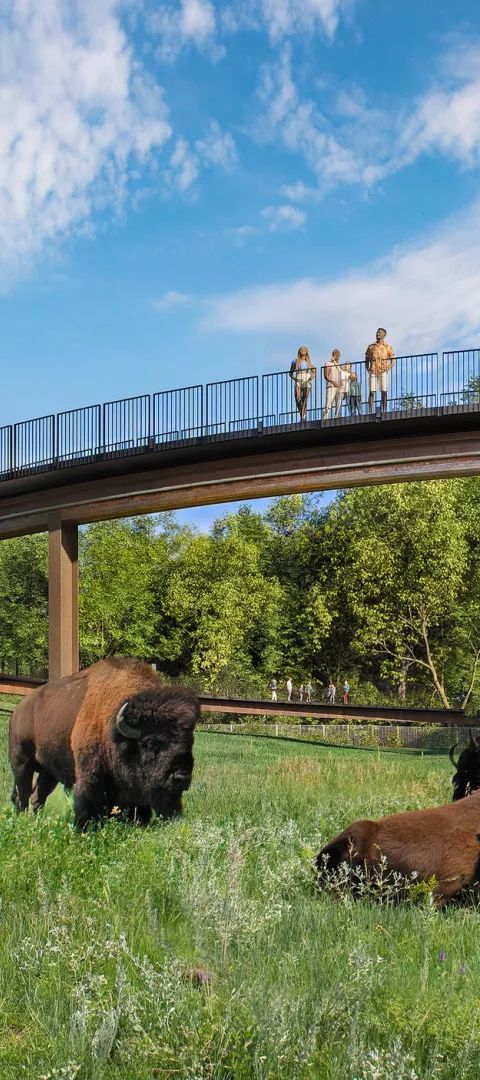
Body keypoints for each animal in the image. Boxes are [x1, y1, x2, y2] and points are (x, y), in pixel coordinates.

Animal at [9, 656, 201, 825]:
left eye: (189, 743)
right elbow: (88, 803)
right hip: (21, 764)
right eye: (150, 743)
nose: (181, 777)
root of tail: (19, 710)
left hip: (49, 772)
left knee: (37, 796)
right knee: (22, 796)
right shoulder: (90, 775)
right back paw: (22, 822)